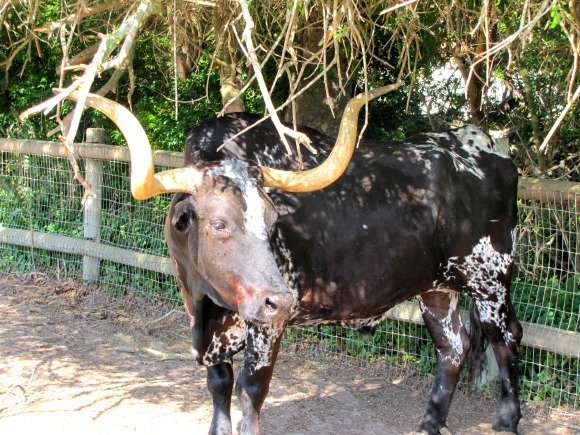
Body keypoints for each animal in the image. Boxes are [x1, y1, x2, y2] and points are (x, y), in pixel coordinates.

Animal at [75, 86, 524, 435]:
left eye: (275, 219)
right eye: (219, 223)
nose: (280, 300)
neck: (206, 306)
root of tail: (480, 144)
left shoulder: (265, 326)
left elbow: (251, 391)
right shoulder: (213, 331)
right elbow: (219, 385)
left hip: (490, 278)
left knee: (506, 340)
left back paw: (506, 421)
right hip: (437, 286)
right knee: (453, 347)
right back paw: (429, 424)